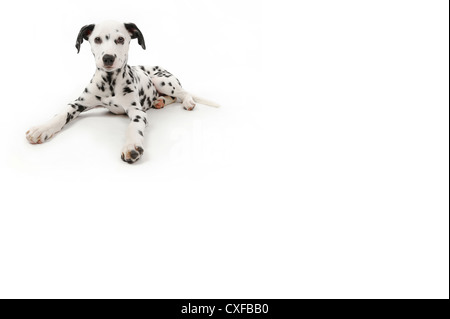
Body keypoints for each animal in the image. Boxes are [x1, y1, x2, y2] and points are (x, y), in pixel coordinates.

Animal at [26, 21, 220, 164]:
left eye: (120, 39)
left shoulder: (137, 111)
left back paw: (187, 102)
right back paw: (159, 101)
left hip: (162, 80)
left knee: (182, 92)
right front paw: (41, 129)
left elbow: (134, 127)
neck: (110, 82)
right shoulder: (78, 103)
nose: (108, 58)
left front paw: (132, 146)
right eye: (97, 39)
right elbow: (61, 114)